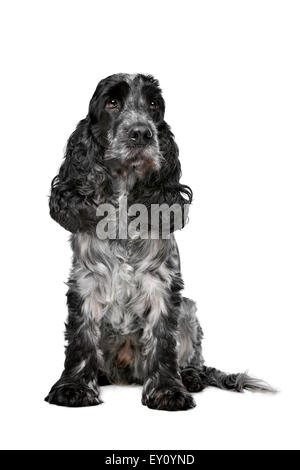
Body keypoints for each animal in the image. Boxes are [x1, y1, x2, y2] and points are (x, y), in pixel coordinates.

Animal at [45, 71, 274, 410]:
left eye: (154, 105)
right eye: (112, 103)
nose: (142, 133)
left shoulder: (162, 284)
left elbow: (163, 340)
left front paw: (168, 390)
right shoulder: (85, 282)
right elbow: (80, 338)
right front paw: (73, 388)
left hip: (189, 309)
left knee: (194, 358)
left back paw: (190, 376)